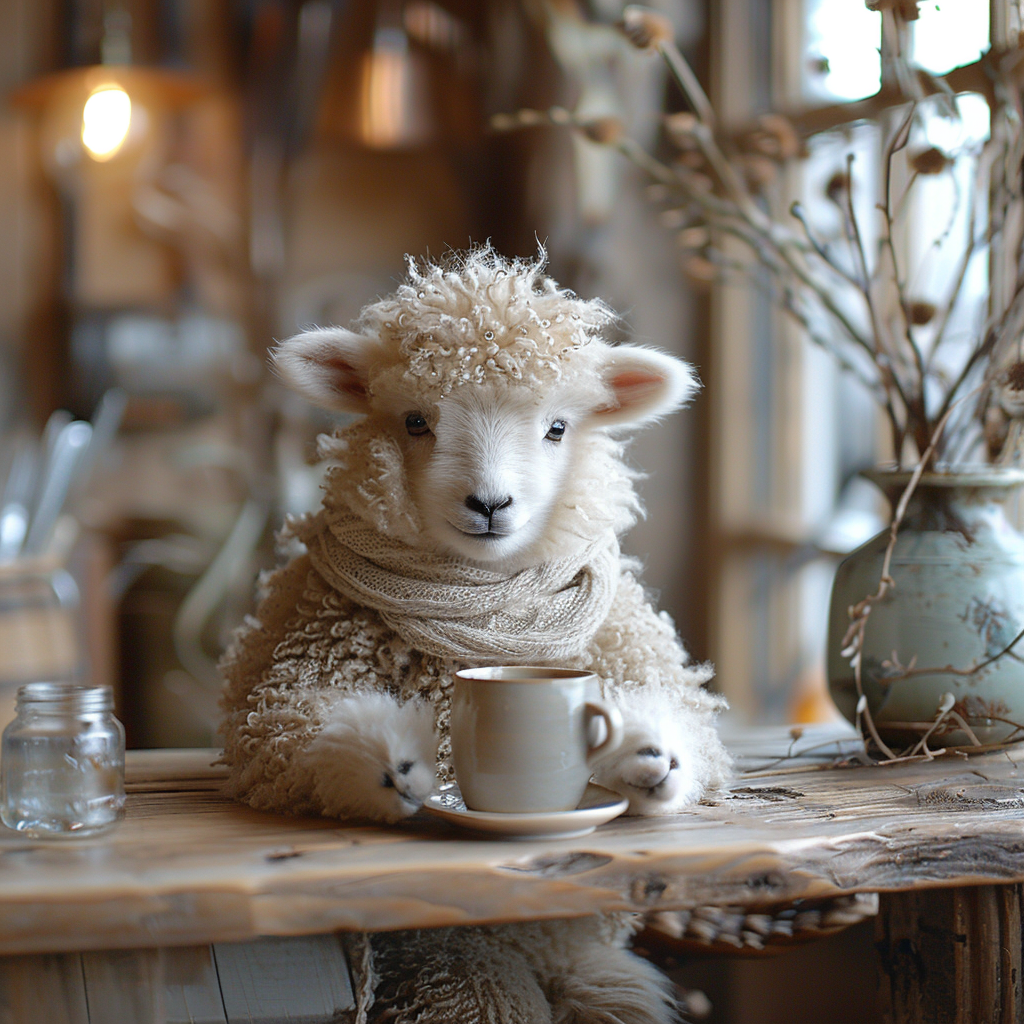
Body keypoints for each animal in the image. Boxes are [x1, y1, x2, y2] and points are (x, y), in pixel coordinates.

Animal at [218, 245, 729, 1024]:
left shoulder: (628, 636)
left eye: (558, 428)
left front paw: (651, 755)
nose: (490, 504)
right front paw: (386, 762)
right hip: (452, 972)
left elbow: (692, 721)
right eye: (415, 421)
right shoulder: (301, 655)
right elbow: (286, 732)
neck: (485, 602)